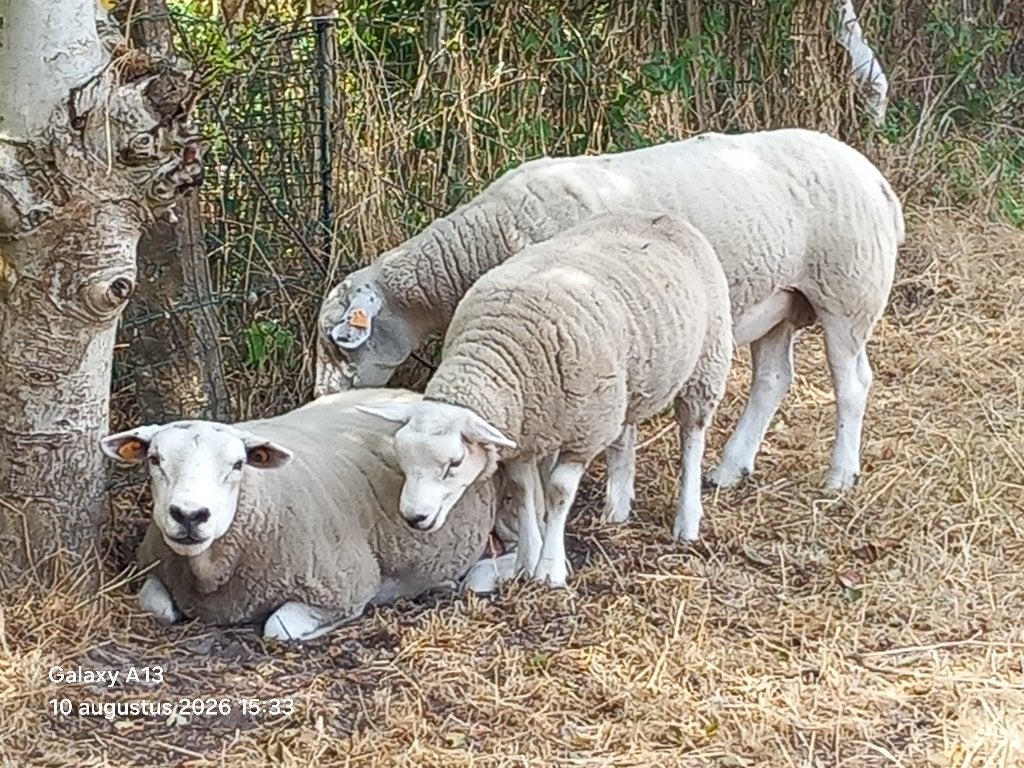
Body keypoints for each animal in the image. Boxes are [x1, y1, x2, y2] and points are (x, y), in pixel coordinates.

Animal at [99, 389, 514, 642]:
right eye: (155, 459)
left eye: (237, 465)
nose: (189, 515)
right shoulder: (152, 569)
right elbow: (156, 607)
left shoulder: (343, 586)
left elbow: (279, 628)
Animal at [318, 127, 904, 503]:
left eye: (343, 343)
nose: (320, 403)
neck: (487, 236)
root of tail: (875, 178)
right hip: (781, 299)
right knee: (773, 379)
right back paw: (729, 468)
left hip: (848, 292)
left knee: (853, 382)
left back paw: (840, 475)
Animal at [356, 210, 733, 587]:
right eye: (403, 460)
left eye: (455, 463)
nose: (414, 517)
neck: (495, 355)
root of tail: (658, 217)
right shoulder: (523, 434)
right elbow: (523, 490)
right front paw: (527, 560)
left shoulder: (584, 432)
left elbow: (559, 491)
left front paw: (550, 568)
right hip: (627, 384)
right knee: (625, 434)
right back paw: (618, 508)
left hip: (706, 362)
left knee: (692, 438)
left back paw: (687, 520)